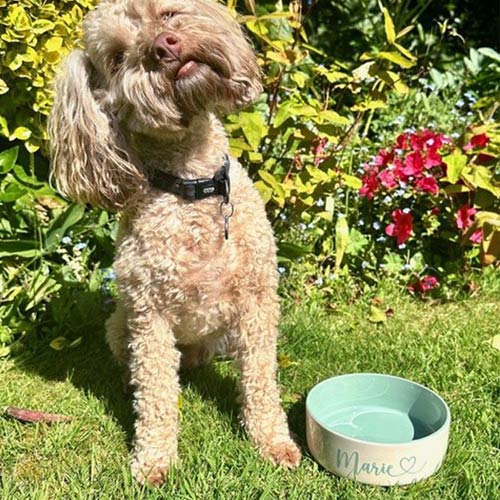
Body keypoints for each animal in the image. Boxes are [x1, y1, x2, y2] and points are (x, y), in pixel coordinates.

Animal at [49, 0, 300, 486]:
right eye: (117, 57)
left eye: (166, 15)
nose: (163, 48)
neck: (193, 187)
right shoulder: (150, 317)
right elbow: (157, 395)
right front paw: (154, 460)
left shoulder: (258, 303)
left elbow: (261, 381)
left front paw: (273, 442)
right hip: (120, 325)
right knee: (141, 368)